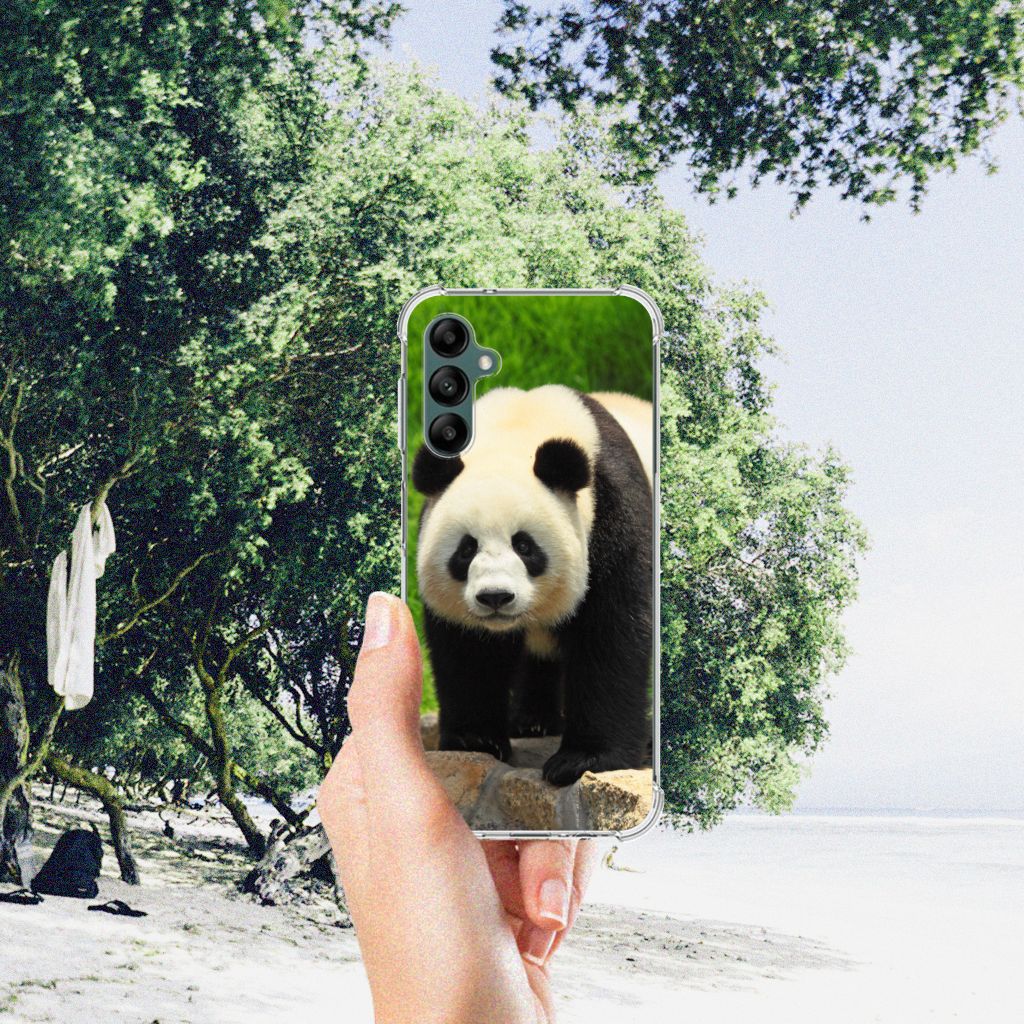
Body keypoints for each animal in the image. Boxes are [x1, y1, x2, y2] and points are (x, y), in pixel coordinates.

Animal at [412, 384, 653, 786]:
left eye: (524, 546)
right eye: (466, 549)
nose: (495, 597)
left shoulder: (614, 514)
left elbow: (612, 635)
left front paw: (582, 759)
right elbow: (469, 651)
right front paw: (476, 739)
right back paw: (532, 721)